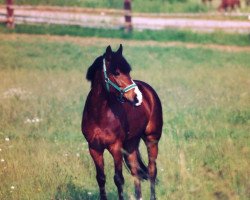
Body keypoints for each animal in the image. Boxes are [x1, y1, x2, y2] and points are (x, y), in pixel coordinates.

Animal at [82, 45, 163, 200]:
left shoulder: (116, 148)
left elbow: (118, 179)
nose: (137, 97)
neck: (99, 115)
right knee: (135, 172)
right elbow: (101, 178)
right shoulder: (94, 148)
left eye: (128, 71)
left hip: (152, 139)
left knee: (151, 171)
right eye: (117, 72)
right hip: (131, 144)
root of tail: (149, 92)